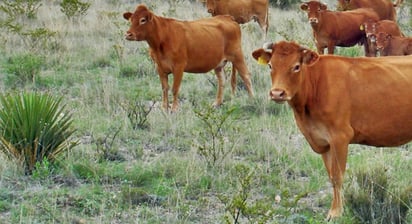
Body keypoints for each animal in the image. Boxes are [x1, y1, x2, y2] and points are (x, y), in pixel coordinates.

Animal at [121, 3, 254, 112]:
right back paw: (217, 103)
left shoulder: (179, 66)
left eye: (143, 20)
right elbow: (164, 88)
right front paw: (164, 107)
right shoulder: (160, 67)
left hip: (237, 56)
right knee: (222, 80)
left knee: (246, 76)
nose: (128, 34)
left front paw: (174, 109)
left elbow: (174, 88)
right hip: (219, 63)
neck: (161, 41)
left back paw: (252, 99)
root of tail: (227, 17)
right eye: (131, 19)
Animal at [253, 40, 412, 220]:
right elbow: (330, 176)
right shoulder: (323, 142)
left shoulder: (340, 137)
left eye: (296, 66)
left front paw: (336, 212)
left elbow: (337, 176)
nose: (277, 93)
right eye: (270, 65)